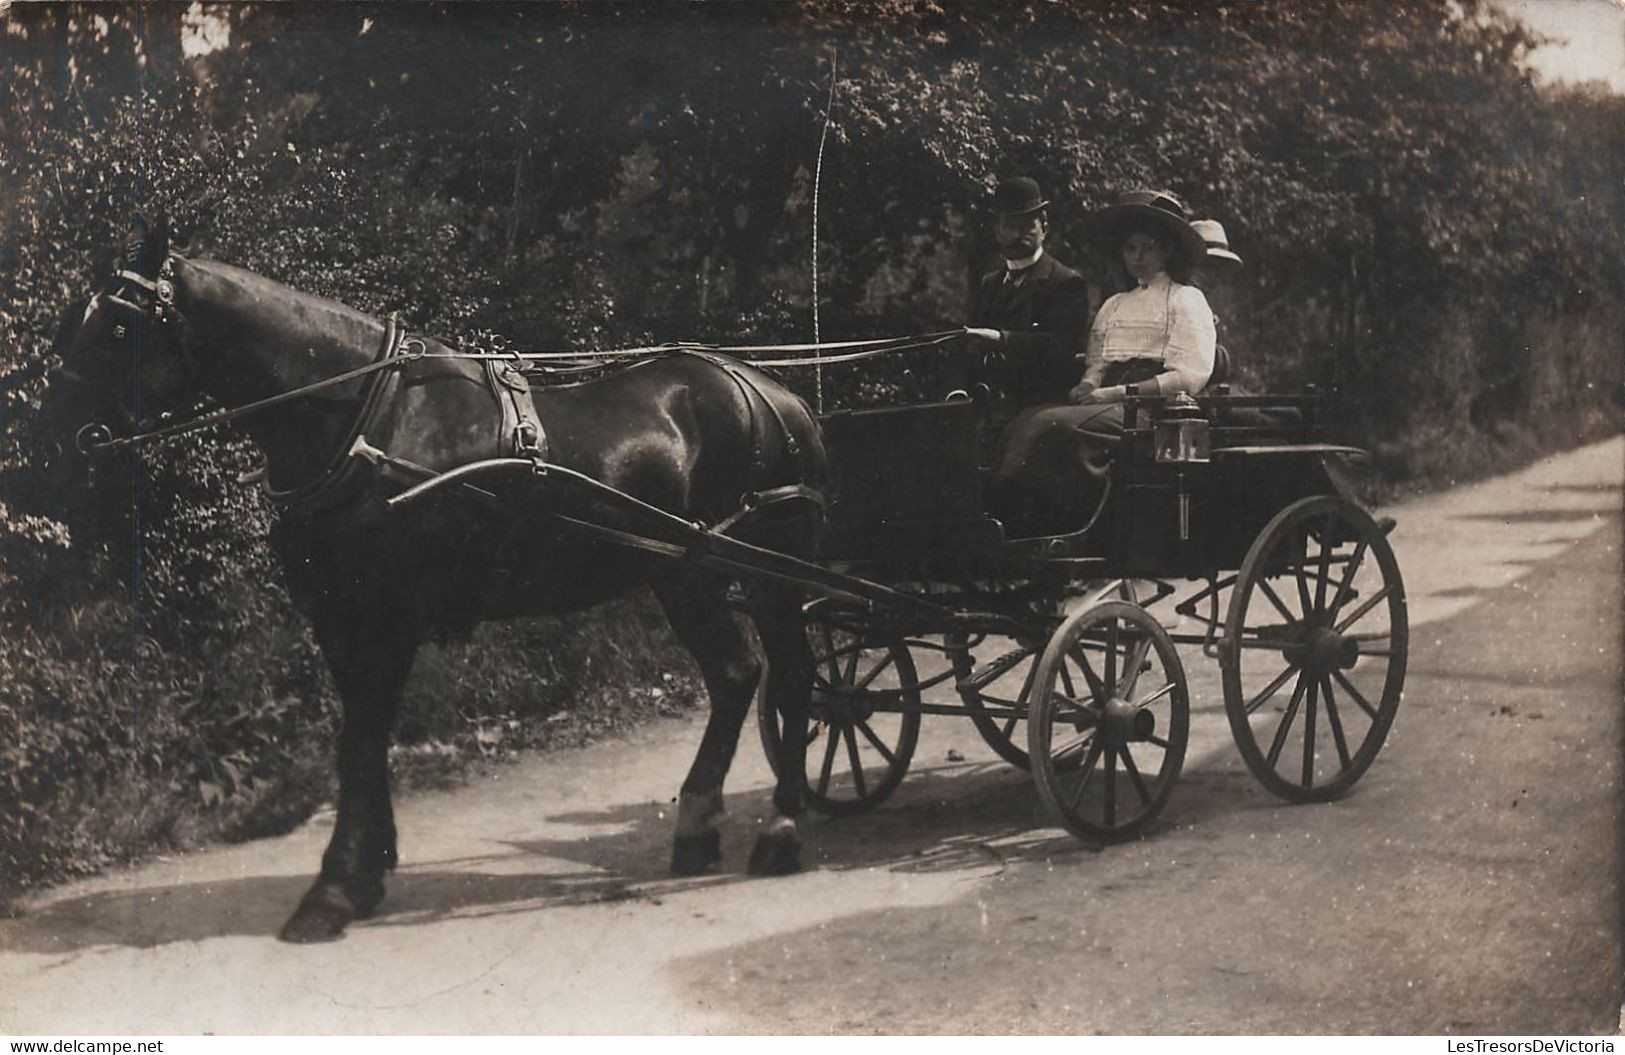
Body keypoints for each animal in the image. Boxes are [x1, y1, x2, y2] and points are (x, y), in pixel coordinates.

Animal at [31, 217, 832, 942]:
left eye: (118, 325)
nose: (50, 443)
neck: (367, 420)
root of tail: (774, 392)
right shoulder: (340, 618)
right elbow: (361, 739)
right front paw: (367, 872)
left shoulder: (385, 617)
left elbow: (360, 740)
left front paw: (332, 889)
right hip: (683, 574)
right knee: (736, 672)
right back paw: (696, 826)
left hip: (768, 573)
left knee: (791, 673)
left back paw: (783, 827)